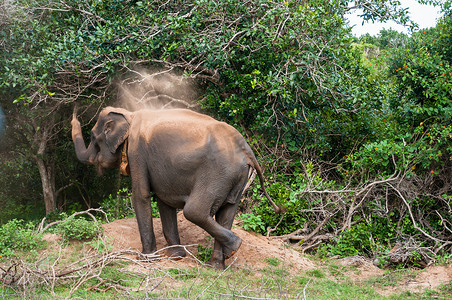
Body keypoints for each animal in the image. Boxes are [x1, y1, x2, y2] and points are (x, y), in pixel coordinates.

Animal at [71, 106, 282, 270]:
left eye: (93, 138)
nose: (74, 113)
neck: (129, 115)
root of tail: (247, 150)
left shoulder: (137, 151)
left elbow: (141, 195)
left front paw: (146, 259)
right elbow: (164, 201)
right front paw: (176, 257)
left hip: (218, 174)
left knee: (194, 211)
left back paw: (233, 247)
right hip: (236, 178)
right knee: (227, 213)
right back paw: (217, 264)